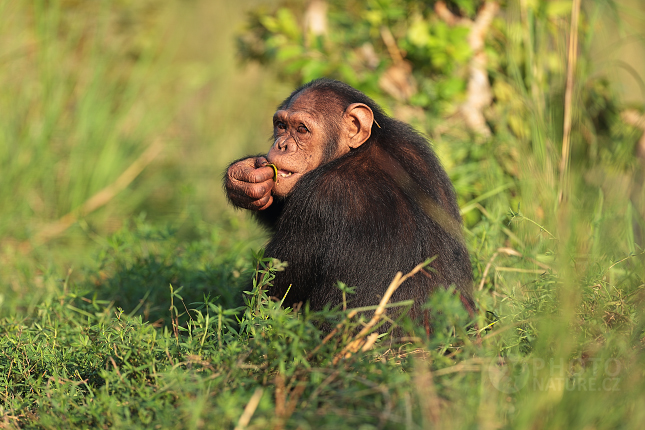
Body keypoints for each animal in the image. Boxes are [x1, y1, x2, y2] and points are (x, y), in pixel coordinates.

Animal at [224, 78, 470, 326]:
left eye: (302, 129)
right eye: (281, 126)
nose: (282, 145)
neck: (357, 151)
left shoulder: (321, 198)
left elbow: (270, 293)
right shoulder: (414, 147)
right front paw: (243, 178)